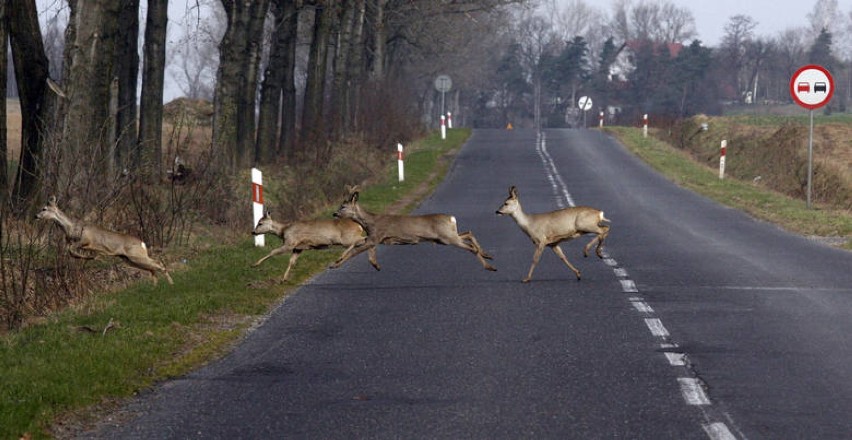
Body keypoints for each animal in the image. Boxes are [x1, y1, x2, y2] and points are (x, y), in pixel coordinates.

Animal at [37, 196, 174, 286]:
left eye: (44, 209)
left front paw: (94, 257)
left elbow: (71, 250)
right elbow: (70, 251)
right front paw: (92, 257)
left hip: (135, 255)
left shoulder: (86, 241)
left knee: (158, 264)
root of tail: (142, 243)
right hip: (129, 259)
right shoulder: (78, 244)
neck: (71, 228)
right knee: (152, 268)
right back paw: (155, 286)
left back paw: (171, 283)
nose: (35, 215)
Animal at [330, 188, 496, 272]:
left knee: (470, 247)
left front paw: (335, 265)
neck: (370, 222)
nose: (334, 214)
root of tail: (451, 218)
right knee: (468, 233)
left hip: (447, 237)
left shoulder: (376, 236)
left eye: (343, 206)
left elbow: (355, 251)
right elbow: (363, 250)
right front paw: (376, 265)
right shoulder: (374, 239)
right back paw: (487, 255)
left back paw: (489, 266)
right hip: (445, 237)